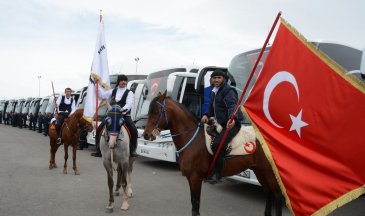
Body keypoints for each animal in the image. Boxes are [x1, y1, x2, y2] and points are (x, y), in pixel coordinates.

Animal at [142, 91, 282, 216]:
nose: (146, 135)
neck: (192, 138)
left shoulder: (195, 178)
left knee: (277, 195)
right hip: (260, 171)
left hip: (269, 172)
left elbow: (196, 206)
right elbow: (193, 203)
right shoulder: (190, 178)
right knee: (269, 193)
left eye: (156, 112)